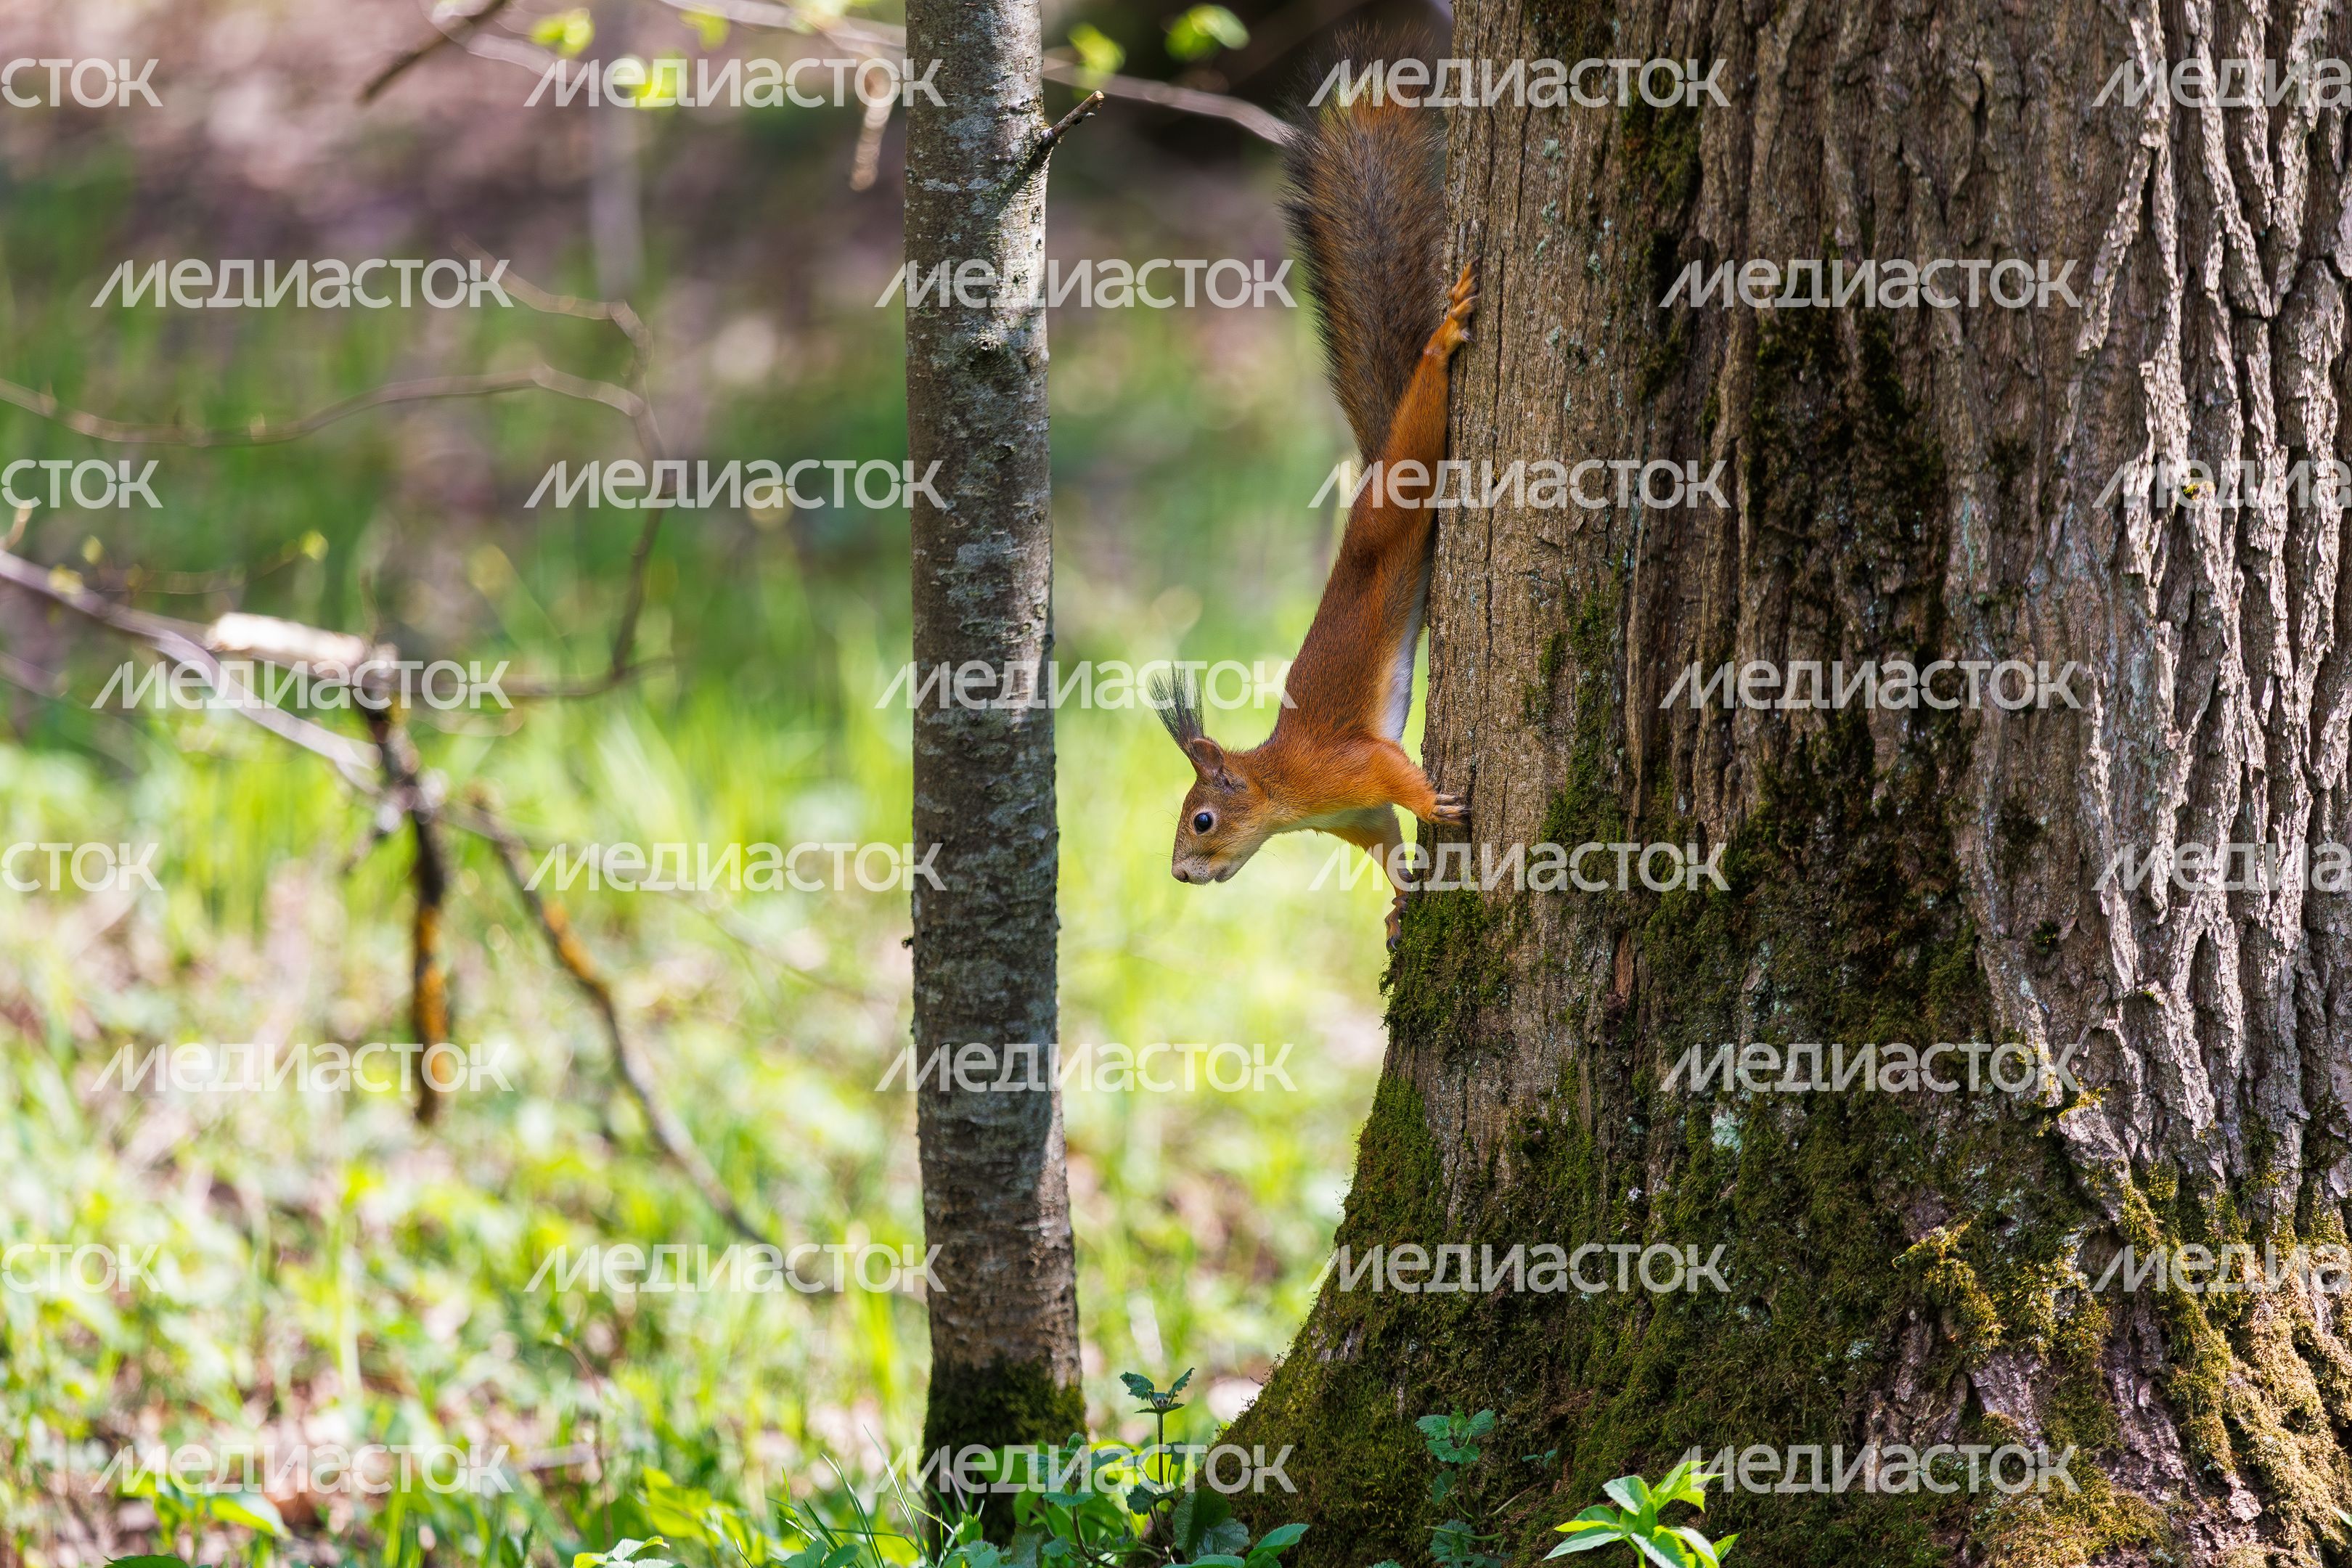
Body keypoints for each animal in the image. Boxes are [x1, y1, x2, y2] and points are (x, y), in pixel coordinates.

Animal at [1158, 82, 1475, 948]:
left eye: (1200, 820)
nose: (1179, 876)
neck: (1283, 794)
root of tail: (1372, 469)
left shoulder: (1347, 765)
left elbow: (1396, 773)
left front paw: (1436, 803)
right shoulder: (1356, 817)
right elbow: (1388, 846)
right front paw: (1399, 908)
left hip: (1395, 501)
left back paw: (1441, 342)